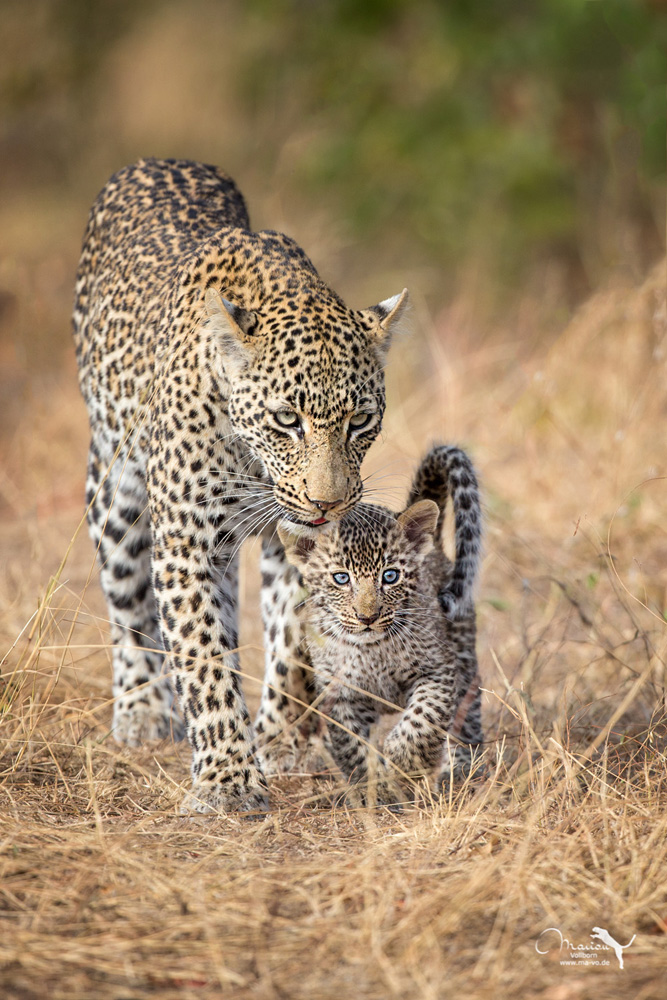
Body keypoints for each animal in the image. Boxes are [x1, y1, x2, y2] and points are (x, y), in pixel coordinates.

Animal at [73, 158, 408, 812]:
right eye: (286, 419)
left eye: (359, 421)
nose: (328, 502)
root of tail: (159, 160)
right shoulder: (185, 541)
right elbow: (200, 655)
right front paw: (228, 777)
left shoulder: (301, 542)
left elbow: (292, 643)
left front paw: (281, 740)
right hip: (117, 492)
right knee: (129, 606)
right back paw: (143, 709)